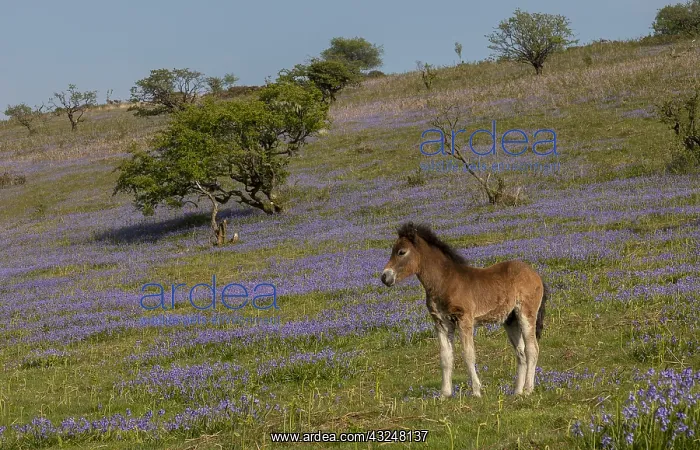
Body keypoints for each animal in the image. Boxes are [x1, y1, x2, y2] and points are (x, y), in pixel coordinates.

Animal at [380, 222, 548, 398]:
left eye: (401, 252)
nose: (384, 277)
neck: (445, 281)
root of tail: (536, 274)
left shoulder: (464, 320)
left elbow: (468, 355)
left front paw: (476, 391)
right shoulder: (441, 323)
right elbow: (446, 357)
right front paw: (444, 394)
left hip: (526, 314)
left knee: (532, 349)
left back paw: (528, 390)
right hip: (511, 320)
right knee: (520, 353)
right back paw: (517, 392)